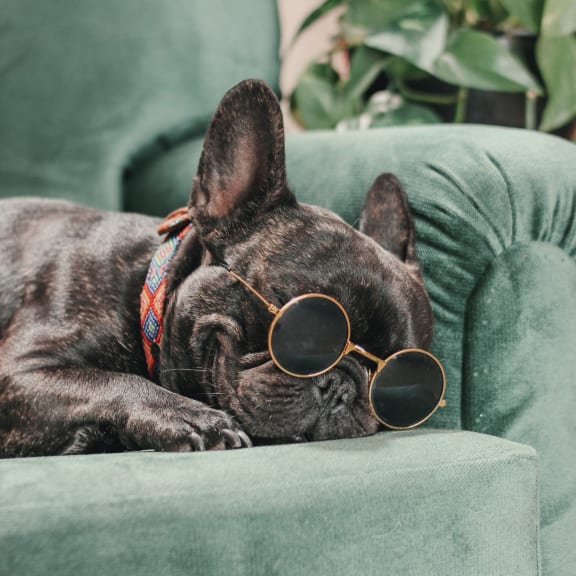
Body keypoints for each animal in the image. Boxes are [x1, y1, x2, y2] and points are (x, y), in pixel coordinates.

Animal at [0, 79, 432, 456]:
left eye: (400, 381)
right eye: (301, 331)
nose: (342, 386)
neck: (147, 294)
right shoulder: (18, 371)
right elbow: (111, 381)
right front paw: (191, 418)